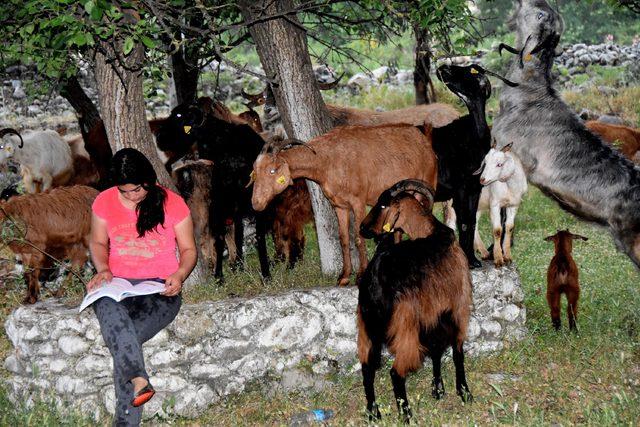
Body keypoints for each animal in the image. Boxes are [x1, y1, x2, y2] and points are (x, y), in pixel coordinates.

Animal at [160, 98, 272, 282]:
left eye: (178, 115)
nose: (160, 136)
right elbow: (225, 234)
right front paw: (224, 273)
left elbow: (251, 234)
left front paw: (264, 273)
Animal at [252, 122, 438, 286]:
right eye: (255, 171)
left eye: (272, 170)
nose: (256, 203)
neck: (326, 159)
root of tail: (425, 142)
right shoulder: (339, 206)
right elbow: (344, 239)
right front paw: (344, 277)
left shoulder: (358, 202)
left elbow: (358, 237)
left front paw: (361, 276)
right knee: (399, 228)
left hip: (425, 186)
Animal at [358, 179, 472, 422]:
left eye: (382, 205)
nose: (363, 228)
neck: (433, 233)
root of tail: (377, 275)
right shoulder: (458, 306)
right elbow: (457, 351)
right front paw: (464, 391)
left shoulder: (433, 314)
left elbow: (437, 350)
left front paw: (438, 389)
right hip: (405, 329)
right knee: (395, 372)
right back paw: (406, 414)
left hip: (368, 326)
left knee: (367, 368)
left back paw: (373, 412)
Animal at [430, 64, 520, 270]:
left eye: (467, 71)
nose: (442, 68)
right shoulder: (461, 189)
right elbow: (464, 222)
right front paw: (470, 261)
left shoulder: (474, 188)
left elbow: (469, 222)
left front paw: (473, 259)